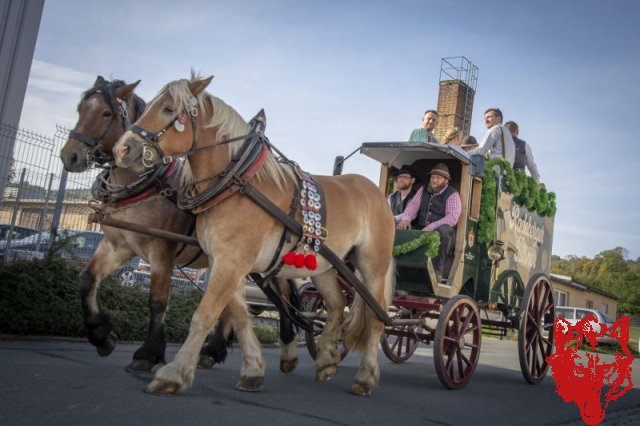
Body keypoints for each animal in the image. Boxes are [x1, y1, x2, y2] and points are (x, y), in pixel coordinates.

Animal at [60, 77, 300, 376]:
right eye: (80, 109)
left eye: (105, 113)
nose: (70, 156)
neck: (147, 184)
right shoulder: (118, 245)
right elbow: (86, 279)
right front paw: (102, 335)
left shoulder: (162, 248)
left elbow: (157, 301)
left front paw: (148, 353)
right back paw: (213, 351)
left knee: (284, 294)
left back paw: (286, 344)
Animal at [114, 74, 396, 396]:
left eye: (169, 109)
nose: (122, 150)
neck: (236, 183)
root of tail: (375, 191)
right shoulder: (227, 263)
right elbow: (238, 316)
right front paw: (252, 370)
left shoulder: (232, 261)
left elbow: (204, 315)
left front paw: (173, 374)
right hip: (325, 263)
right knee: (337, 305)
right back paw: (326, 360)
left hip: (373, 264)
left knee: (376, 317)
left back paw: (365, 376)